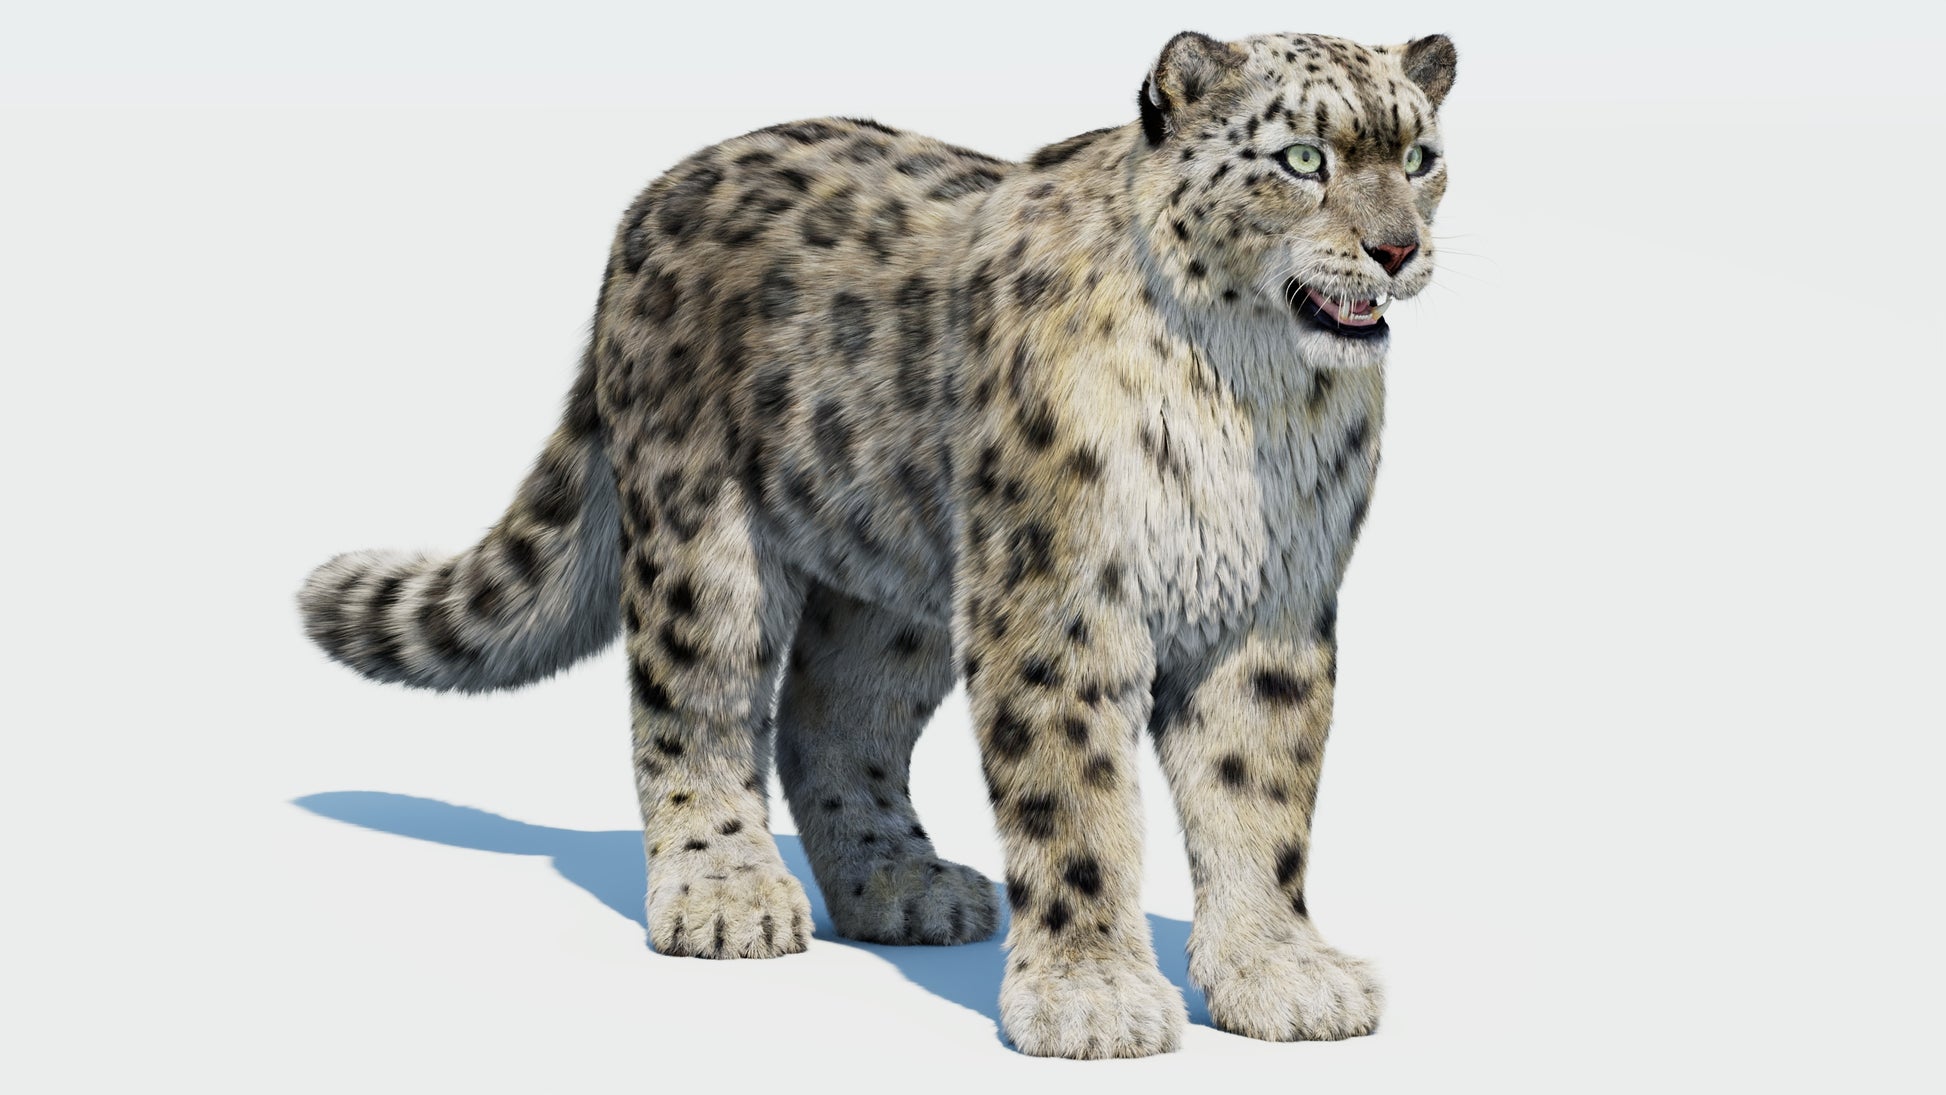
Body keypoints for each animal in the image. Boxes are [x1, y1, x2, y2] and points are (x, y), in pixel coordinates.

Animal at [297, 29, 1458, 1059]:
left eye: (1418, 157)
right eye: (1300, 158)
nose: (1396, 248)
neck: (1250, 398)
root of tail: (655, 197)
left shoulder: (1273, 605)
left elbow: (1258, 793)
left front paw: (1279, 975)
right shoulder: (1057, 598)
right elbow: (1075, 800)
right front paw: (1090, 1000)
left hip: (896, 587)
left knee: (828, 719)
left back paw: (902, 884)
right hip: (704, 540)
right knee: (696, 707)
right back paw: (725, 895)